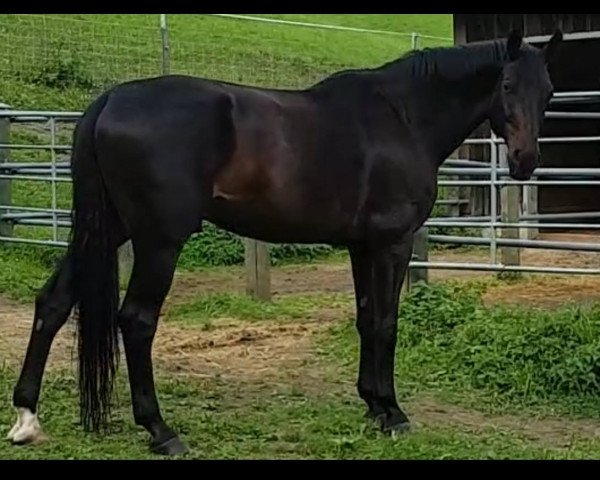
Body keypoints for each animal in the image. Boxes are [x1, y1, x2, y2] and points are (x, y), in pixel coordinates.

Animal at [8, 30, 564, 454]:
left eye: (549, 92)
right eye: (507, 84)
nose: (525, 161)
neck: (403, 118)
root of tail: (109, 100)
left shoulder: (361, 246)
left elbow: (366, 319)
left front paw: (372, 404)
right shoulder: (392, 243)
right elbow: (386, 323)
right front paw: (393, 413)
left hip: (105, 229)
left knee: (53, 302)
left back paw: (26, 418)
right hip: (158, 240)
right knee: (137, 321)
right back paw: (161, 431)